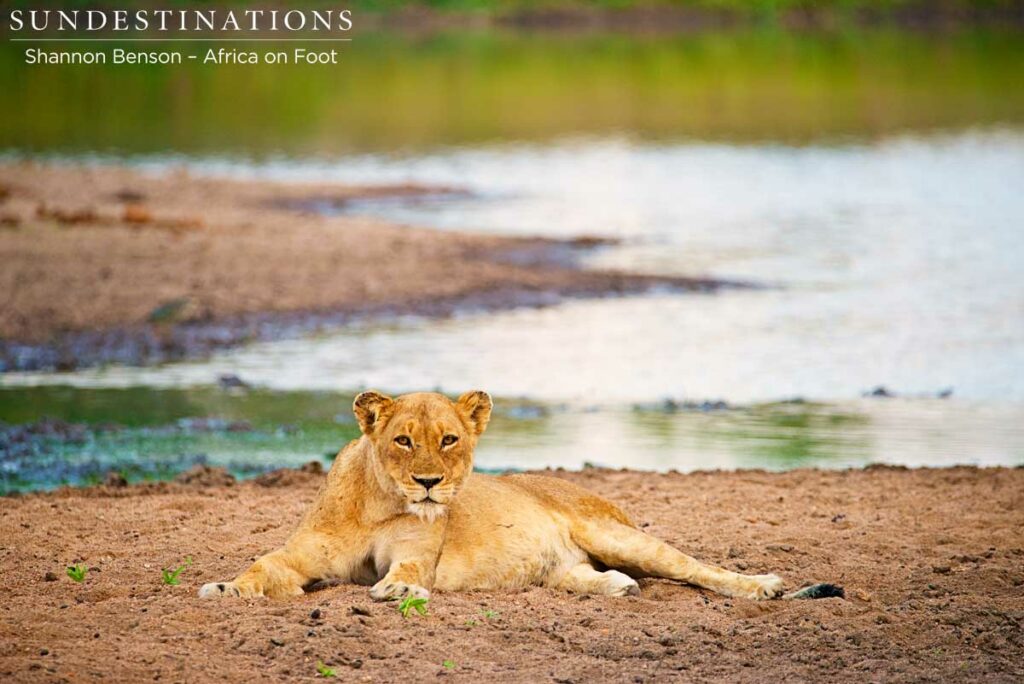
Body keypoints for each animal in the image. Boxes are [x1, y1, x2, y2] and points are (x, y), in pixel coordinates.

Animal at [199, 390, 786, 602]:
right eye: (403, 440)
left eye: (449, 440)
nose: (429, 483)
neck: (379, 504)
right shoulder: (299, 557)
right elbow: (261, 566)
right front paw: (226, 588)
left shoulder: (417, 555)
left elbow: (407, 571)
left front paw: (398, 590)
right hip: (564, 567)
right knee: (587, 576)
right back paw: (615, 586)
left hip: (618, 535)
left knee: (696, 568)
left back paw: (764, 586)